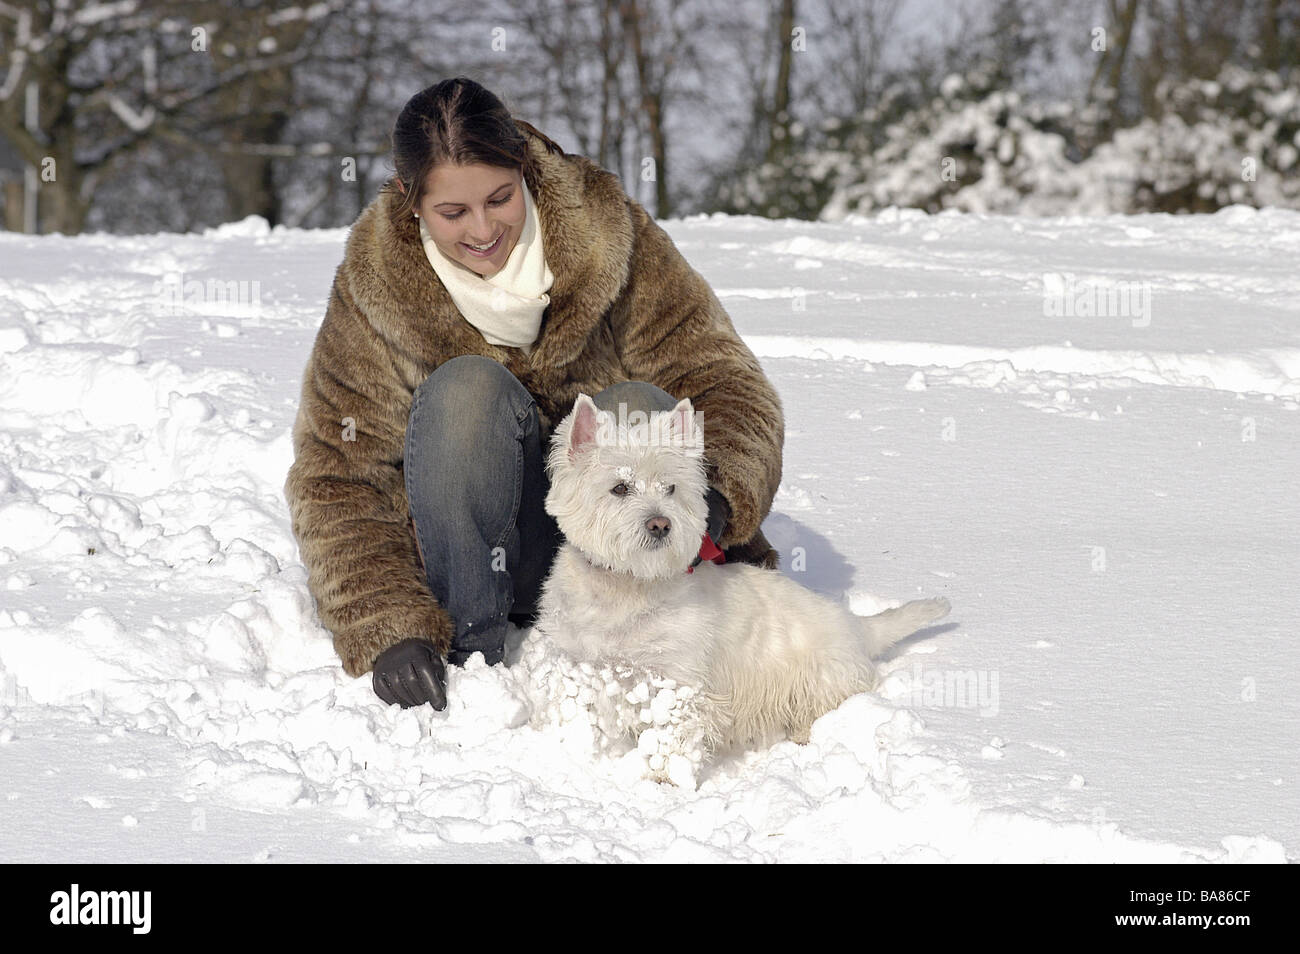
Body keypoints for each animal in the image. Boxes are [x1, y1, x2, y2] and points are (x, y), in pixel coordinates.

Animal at [533, 392, 951, 779]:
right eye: (619, 487)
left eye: (671, 488)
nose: (661, 524)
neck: (625, 585)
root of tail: (856, 626)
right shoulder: (581, 664)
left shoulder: (677, 679)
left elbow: (672, 734)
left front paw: (665, 779)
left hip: (821, 677)